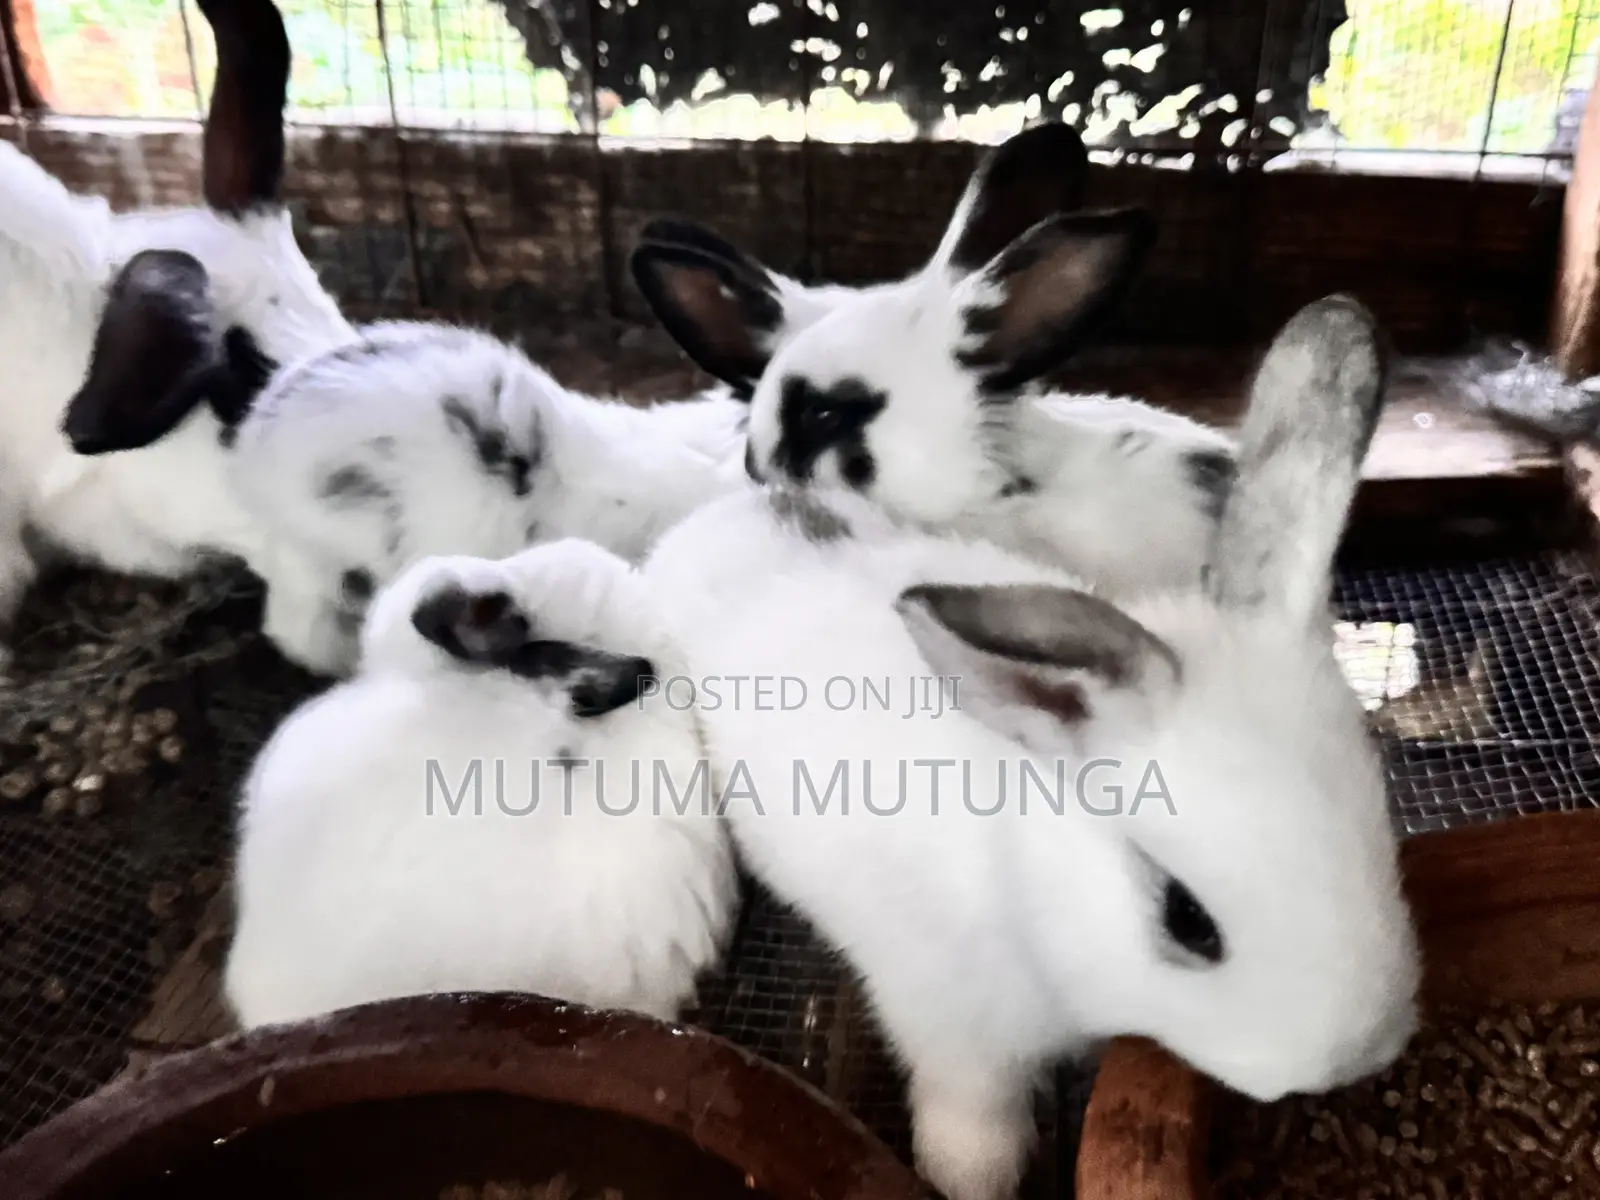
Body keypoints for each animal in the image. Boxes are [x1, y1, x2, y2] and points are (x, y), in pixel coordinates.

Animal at [640, 295, 1420, 1200]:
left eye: (1381, 827)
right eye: (1187, 919)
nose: (1350, 1059)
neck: (1021, 874)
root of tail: (708, 523)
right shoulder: (953, 1034)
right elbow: (974, 1138)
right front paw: (967, 1179)